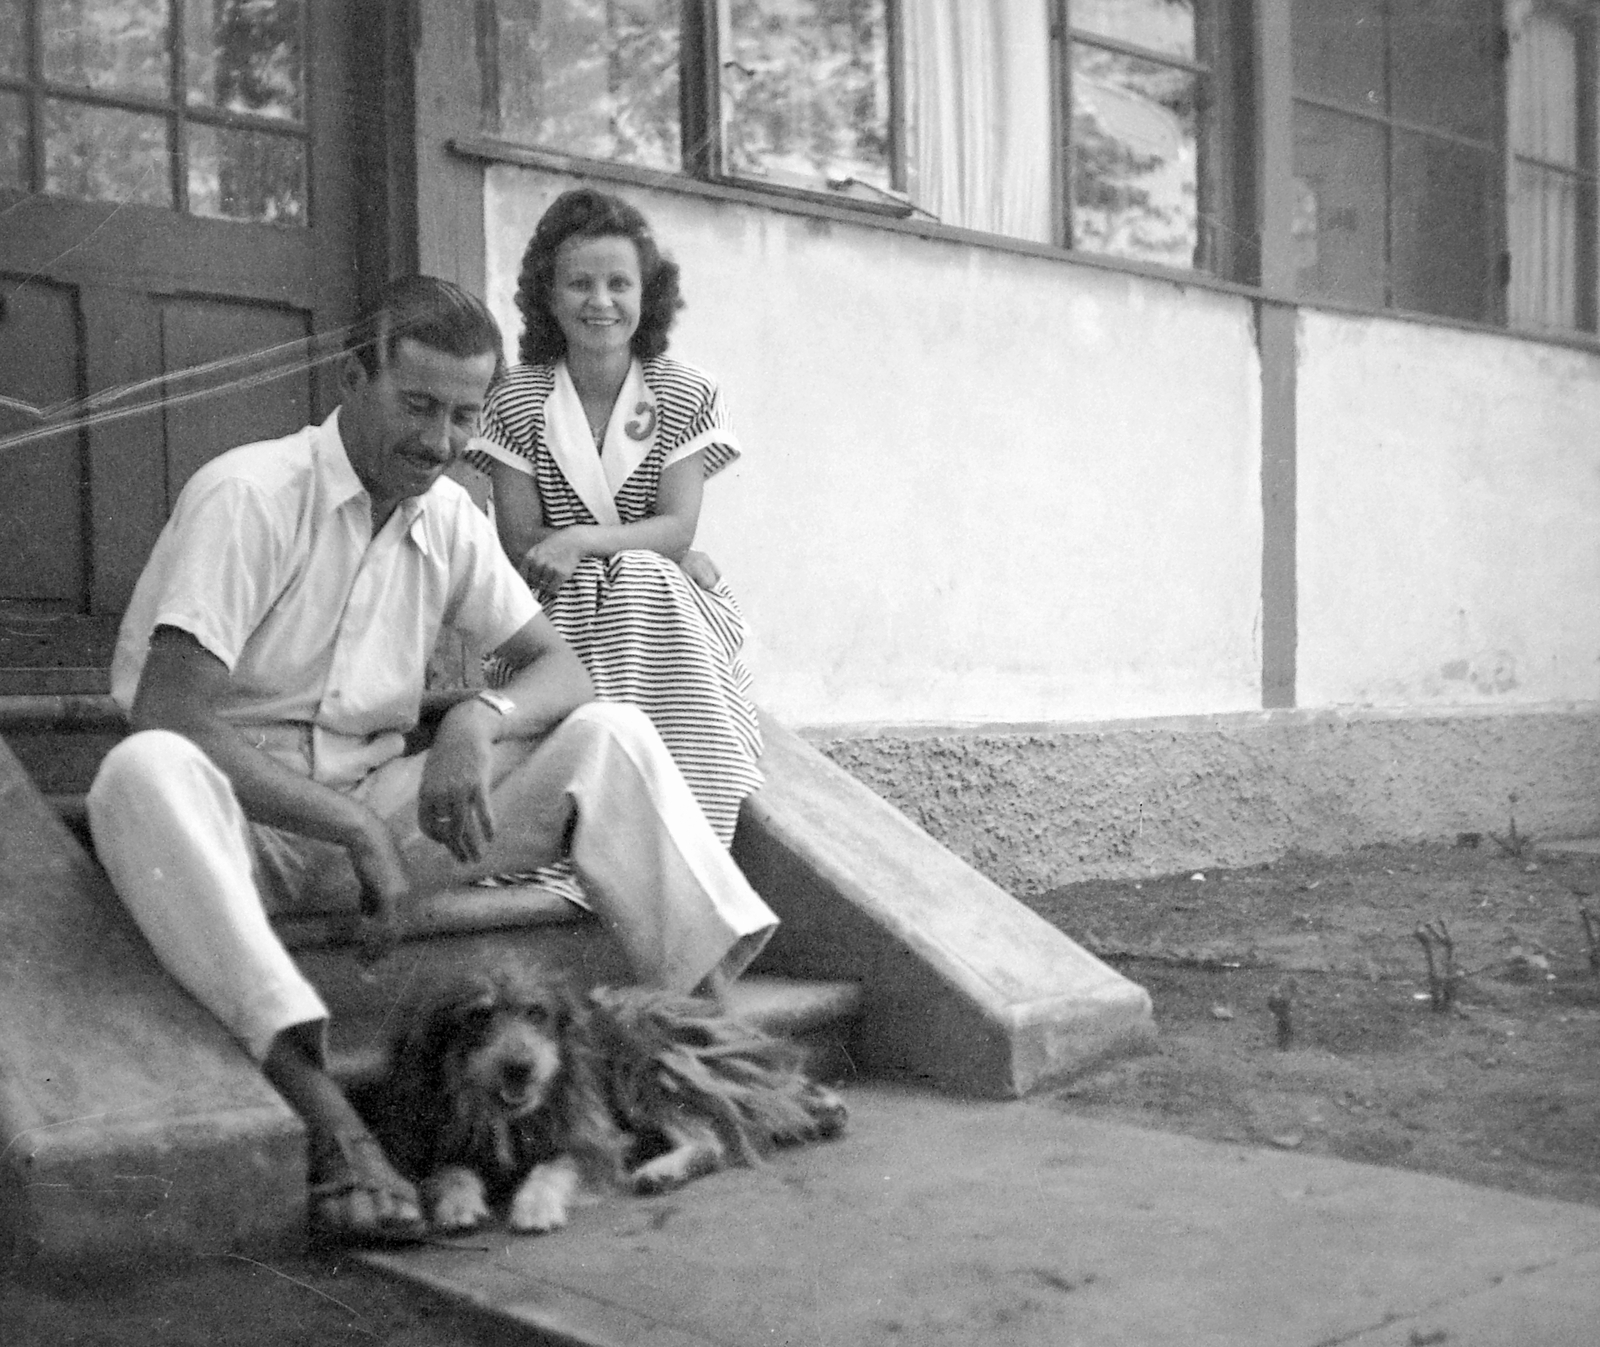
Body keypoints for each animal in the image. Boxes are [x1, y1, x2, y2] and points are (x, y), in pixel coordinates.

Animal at [366, 959, 851, 1235]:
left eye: (536, 1013)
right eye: (479, 1016)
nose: (520, 1068)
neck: (508, 1116)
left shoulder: (591, 1138)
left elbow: (553, 1166)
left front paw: (535, 1206)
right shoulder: (431, 1143)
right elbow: (452, 1169)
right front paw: (459, 1204)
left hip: (645, 1066)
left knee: (715, 1135)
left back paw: (662, 1170)